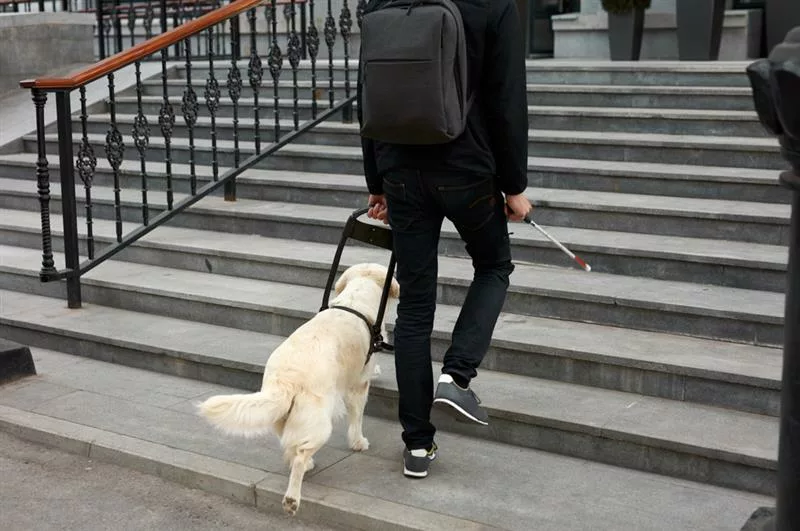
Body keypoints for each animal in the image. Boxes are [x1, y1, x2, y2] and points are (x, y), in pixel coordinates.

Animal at [197, 264, 396, 516]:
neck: (356, 300)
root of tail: (286, 380)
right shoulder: (359, 384)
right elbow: (357, 417)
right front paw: (358, 442)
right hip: (320, 422)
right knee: (300, 456)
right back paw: (292, 498)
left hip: (283, 416)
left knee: (293, 447)